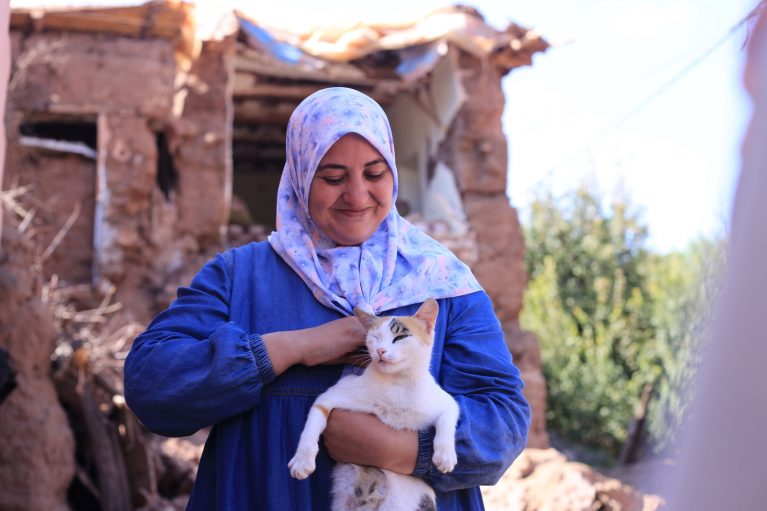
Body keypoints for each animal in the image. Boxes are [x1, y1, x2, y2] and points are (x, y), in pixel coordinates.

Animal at [286, 300, 456, 511]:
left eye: (400, 337)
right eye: (375, 338)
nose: (380, 350)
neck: (396, 383)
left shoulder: (445, 401)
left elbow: (448, 418)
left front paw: (445, 455)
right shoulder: (333, 394)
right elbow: (312, 424)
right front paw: (302, 460)